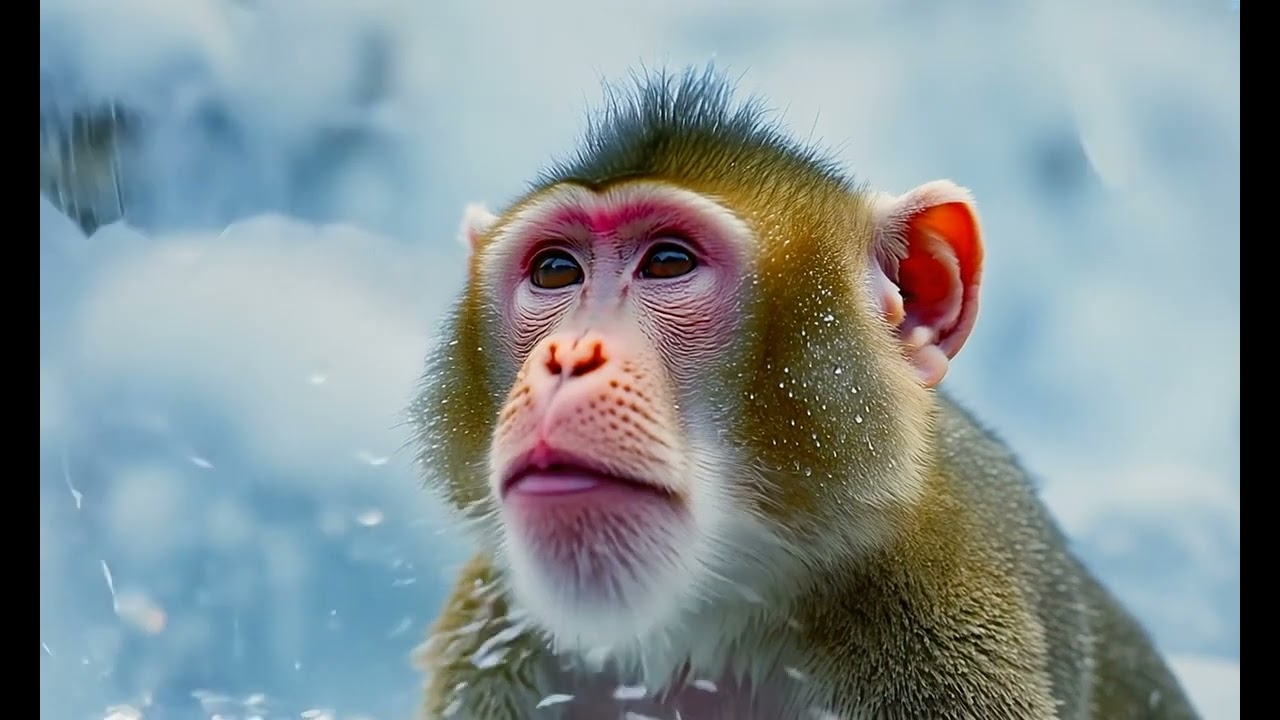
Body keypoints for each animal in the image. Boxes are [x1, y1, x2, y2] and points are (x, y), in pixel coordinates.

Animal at [410, 66, 1200, 720]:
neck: (707, 634)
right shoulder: (489, 635)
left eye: (668, 262)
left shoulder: (938, 637)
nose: (568, 357)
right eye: (554, 272)